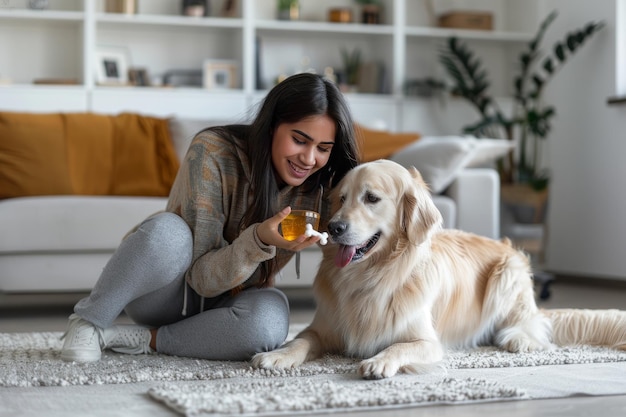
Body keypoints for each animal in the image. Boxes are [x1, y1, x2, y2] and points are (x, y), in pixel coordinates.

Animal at [251, 158, 624, 376]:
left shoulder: (428, 341)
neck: (372, 276)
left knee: (530, 325)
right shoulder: (321, 329)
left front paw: (379, 360)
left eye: (371, 198)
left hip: (508, 272)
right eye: (341, 198)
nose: (334, 227)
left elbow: (399, 345)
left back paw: (518, 339)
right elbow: (299, 341)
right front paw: (277, 356)